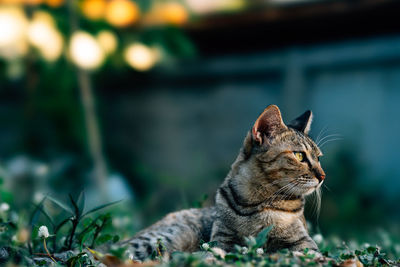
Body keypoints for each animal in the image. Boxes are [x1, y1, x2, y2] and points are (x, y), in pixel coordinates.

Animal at [123, 105, 326, 262]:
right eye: (299, 156)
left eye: (318, 157)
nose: (323, 176)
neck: (255, 204)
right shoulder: (222, 240)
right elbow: (216, 252)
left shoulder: (303, 244)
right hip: (164, 238)